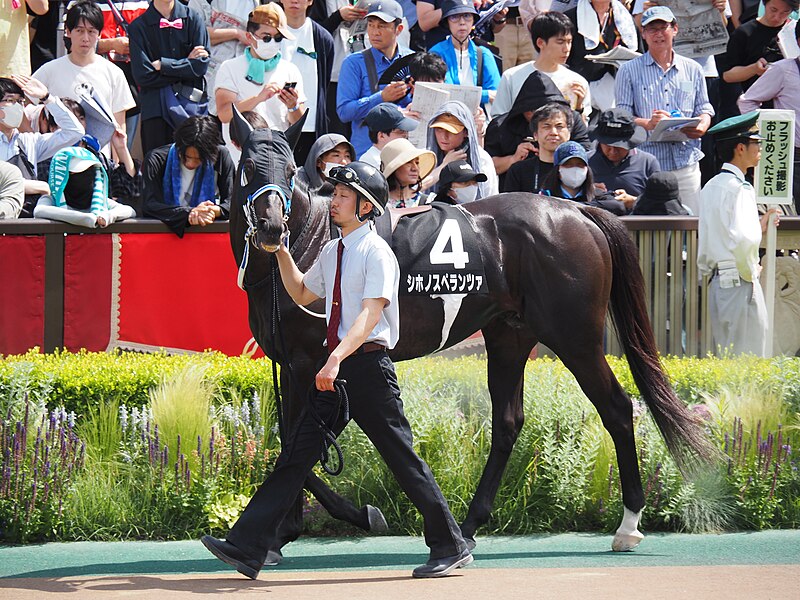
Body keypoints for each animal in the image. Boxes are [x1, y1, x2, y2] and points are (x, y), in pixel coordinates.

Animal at [230, 110, 712, 556]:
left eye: (289, 168)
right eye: (249, 166)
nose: (271, 228)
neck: (312, 242)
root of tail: (575, 209)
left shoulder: (311, 362)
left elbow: (296, 445)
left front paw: (347, 518)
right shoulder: (295, 364)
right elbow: (292, 444)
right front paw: (280, 533)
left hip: (575, 337)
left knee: (616, 407)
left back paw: (628, 523)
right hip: (510, 336)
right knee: (509, 422)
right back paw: (469, 524)